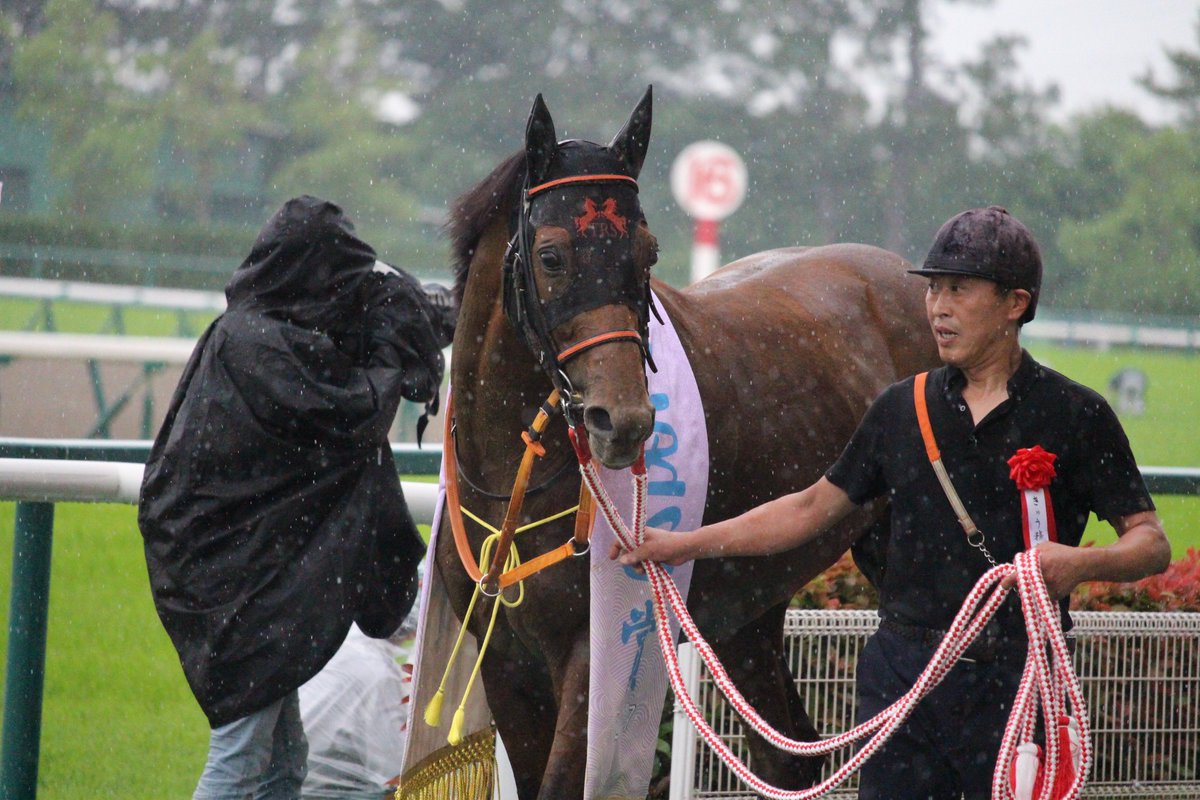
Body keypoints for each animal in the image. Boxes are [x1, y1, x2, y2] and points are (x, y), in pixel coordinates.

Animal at [432, 84, 936, 796]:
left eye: (646, 253)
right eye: (552, 255)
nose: (622, 420)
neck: (516, 480)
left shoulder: (593, 654)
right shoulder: (503, 661)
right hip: (751, 605)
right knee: (787, 753)